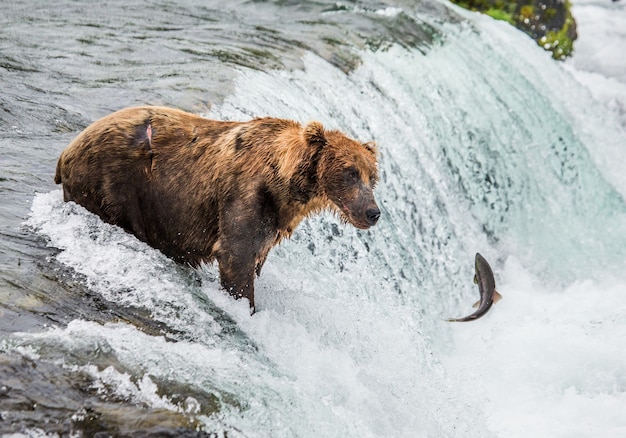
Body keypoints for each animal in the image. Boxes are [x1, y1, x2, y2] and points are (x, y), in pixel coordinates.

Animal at [56, 105, 380, 312]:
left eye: (372, 176)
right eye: (350, 172)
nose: (373, 212)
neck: (286, 185)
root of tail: (66, 151)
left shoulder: (273, 223)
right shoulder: (246, 196)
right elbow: (237, 258)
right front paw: (246, 306)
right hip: (111, 184)